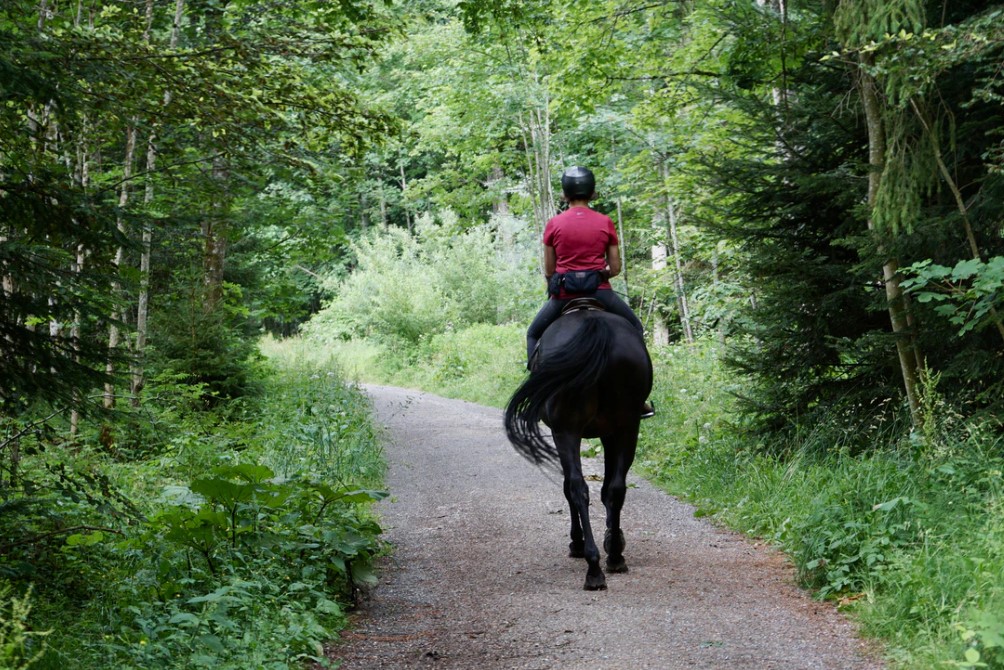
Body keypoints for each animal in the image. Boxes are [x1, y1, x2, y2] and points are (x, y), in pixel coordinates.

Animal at [506, 305, 654, 590]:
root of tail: (595, 326)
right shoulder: (610, 432)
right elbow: (608, 488)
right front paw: (612, 537)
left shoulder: (564, 432)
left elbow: (569, 487)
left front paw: (578, 541)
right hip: (627, 426)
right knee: (615, 488)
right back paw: (614, 557)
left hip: (567, 430)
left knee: (577, 488)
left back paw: (592, 564)